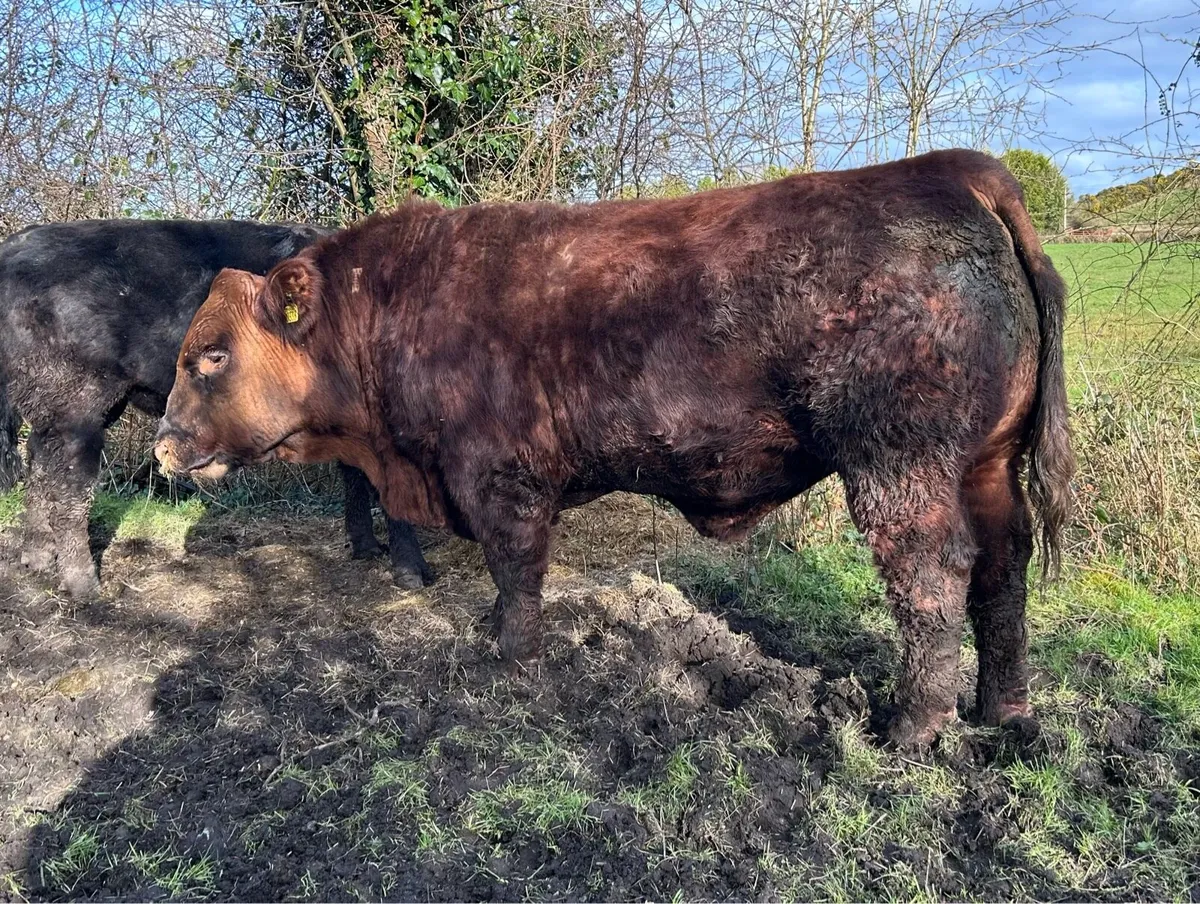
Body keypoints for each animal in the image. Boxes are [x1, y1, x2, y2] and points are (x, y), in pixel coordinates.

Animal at [0, 218, 435, 598]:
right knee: (69, 483)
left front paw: (366, 548)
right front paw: (411, 571)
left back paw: (36, 559)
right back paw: (83, 584)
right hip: (78, 406)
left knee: (39, 465)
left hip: (52, 408)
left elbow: (355, 474)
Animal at [154, 150, 1074, 746]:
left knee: (933, 578)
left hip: (899, 468)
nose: (162, 447)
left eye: (212, 356)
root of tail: (956, 171)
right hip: (985, 466)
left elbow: (517, 574)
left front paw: (513, 663)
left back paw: (911, 728)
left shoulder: (503, 482)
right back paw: (1004, 712)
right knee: (1004, 566)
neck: (396, 307)